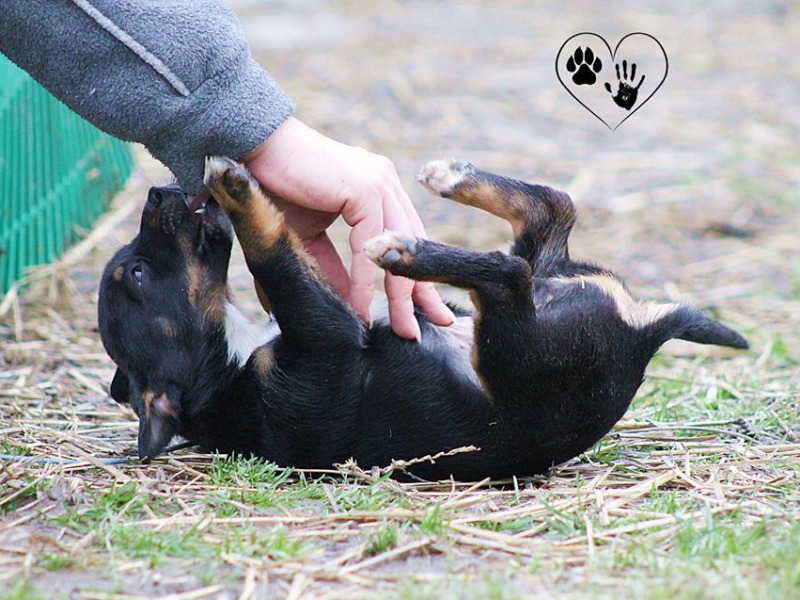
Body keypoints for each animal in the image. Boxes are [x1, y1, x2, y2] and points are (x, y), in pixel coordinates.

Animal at [100, 158, 752, 478]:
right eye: (137, 272)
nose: (157, 195)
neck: (226, 367)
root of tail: (643, 332)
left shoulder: (323, 321)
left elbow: (276, 263)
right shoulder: (326, 336)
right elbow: (271, 260)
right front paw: (236, 188)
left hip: (545, 284)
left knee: (552, 209)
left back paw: (450, 179)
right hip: (518, 347)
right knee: (509, 274)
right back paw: (405, 250)